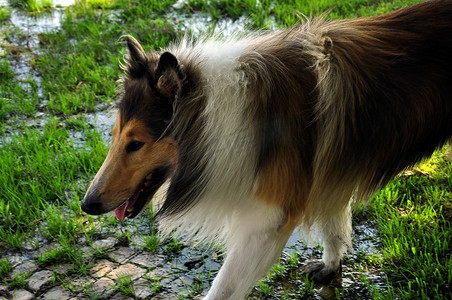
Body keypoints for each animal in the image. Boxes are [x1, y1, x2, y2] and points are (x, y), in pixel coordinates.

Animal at [81, 1, 452, 298]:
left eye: (136, 144)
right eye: (114, 135)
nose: (87, 205)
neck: (213, 114)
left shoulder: (266, 220)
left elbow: (224, 287)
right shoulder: (328, 175)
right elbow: (333, 223)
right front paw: (331, 266)